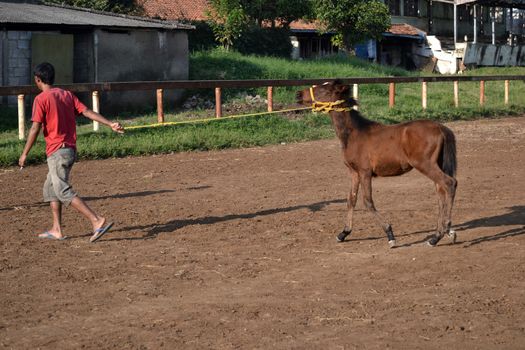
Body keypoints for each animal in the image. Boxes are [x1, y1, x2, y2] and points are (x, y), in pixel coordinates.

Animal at [296, 80, 456, 247]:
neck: (354, 134)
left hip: (425, 164)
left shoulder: (365, 172)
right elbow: (351, 200)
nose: (298, 94)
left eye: (324, 90)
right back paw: (437, 235)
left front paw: (390, 234)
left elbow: (367, 201)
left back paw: (446, 230)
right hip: (434, 165)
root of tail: (441, 127)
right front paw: (343, 233)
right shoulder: (354, 172)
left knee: (449, 183)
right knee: (440, 191)